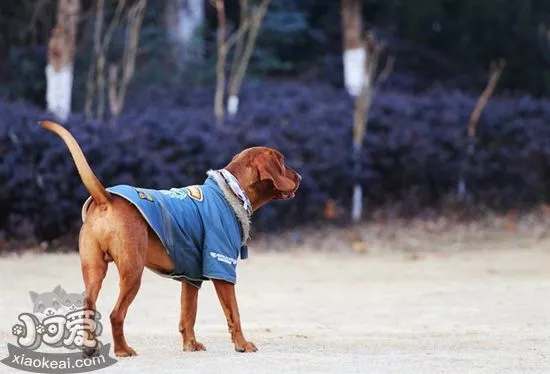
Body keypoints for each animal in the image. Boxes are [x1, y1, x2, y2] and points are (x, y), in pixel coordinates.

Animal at [41, 120, 302, 356]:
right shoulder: (222, 269)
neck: (231, 192)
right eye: (283, 163)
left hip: (93, 268)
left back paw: (90, 347)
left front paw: (190, 345)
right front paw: (242, 344)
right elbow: (233, 313)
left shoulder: (191, 278)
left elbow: (188, 314)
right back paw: (123, 350)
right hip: (133, 271)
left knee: (88, 305)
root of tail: (106, 197)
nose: (299, 176)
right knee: (116, 314)